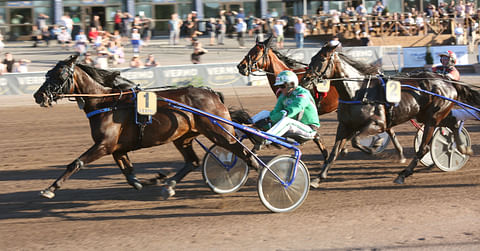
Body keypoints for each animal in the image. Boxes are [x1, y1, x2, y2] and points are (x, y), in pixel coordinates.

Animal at [33, 55, 258, 200]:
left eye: (60, 75)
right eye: (48, 73)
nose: (38, 96)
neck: (106, 102)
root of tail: (212, 93)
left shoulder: (105, 145)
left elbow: (76, 163)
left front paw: (50, 188)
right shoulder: (118, 148)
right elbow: (131, 176)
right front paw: (156, 179)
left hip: (219, 132)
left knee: (243, 152)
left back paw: (255, 169)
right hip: (183, 137)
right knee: (192, 161)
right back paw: (170, 186)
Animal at [304, 41, 480, 186]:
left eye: (322, 59)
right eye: (312, 58)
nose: (306, 79)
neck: (357, 92)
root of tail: (446, 81)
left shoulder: (378, 124)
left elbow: (356, 141)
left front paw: (375, 145)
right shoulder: (344, 126)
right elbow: (334, 152)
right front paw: (318, 178)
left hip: (433, 118)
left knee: (423, 148)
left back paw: (403, 174)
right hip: (428, 116)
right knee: (454, 124)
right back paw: (463, 148)